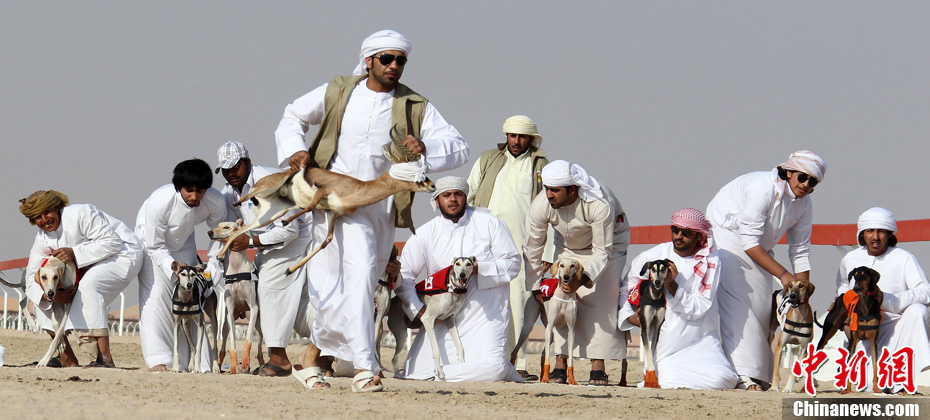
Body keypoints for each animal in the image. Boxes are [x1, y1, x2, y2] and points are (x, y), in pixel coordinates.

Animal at [536, 258, 580, 386]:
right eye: (562, 265)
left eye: (572, 266)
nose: (565, 277)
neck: (564, 297)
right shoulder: (550, 327)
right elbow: (548, 359)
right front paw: (546, 379)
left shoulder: (571, 330)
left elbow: (570, 358)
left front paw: (572, 380)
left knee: (543, 355)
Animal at [816, 266, 880, 394]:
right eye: (855, 275)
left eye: (864, 275)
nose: (856, 288)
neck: (865, 307)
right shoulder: (854, 341)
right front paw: (847, 390)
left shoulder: (873, 342)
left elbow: (875, 367)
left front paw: (876, 389)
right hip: (827, 335)